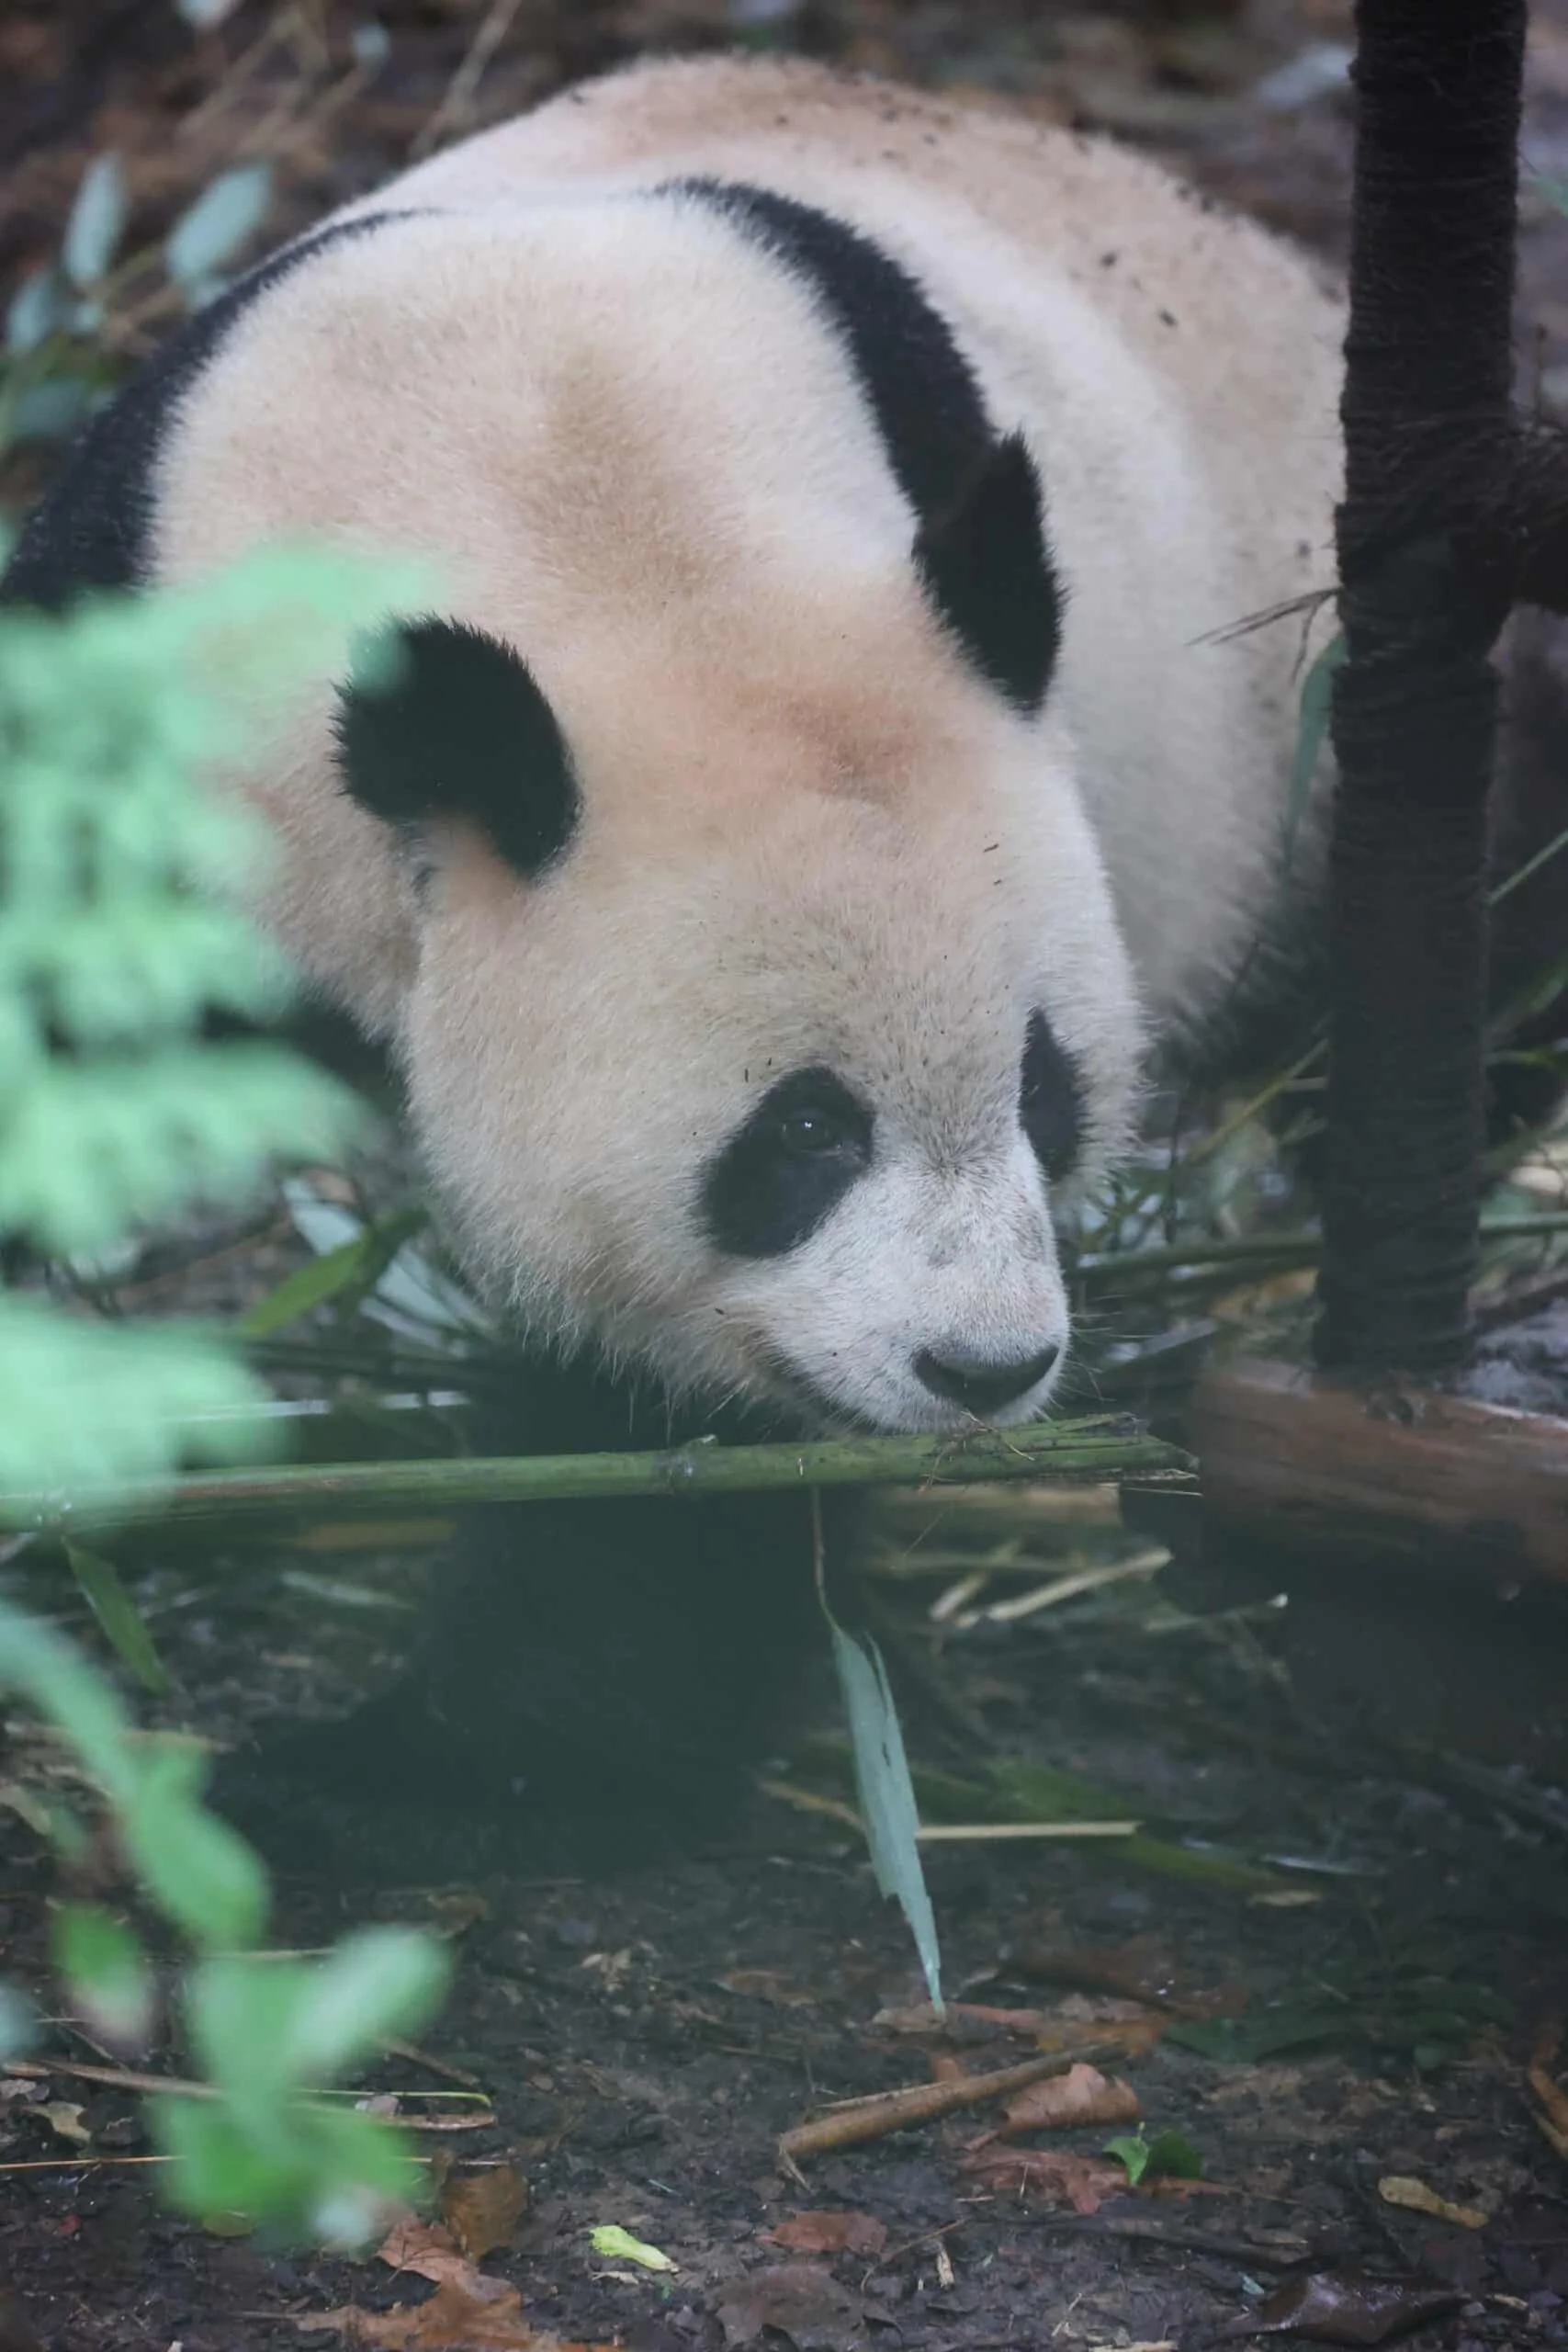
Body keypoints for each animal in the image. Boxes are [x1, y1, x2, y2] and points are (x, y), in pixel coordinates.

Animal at [4, 53, 1351, 1876]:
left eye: (1043, 1089)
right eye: (805, 1132)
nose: (984, 1369)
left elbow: (661, 1457)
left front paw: (410, 1773)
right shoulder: (115, 704)